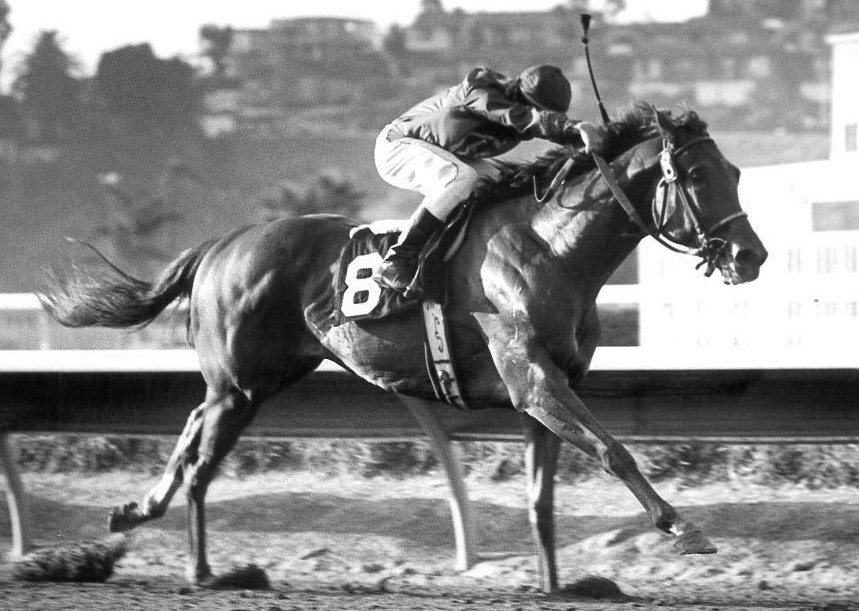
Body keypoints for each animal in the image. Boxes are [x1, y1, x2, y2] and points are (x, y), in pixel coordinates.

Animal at [38, 103, 764, 592]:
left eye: (732, 170)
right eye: (695, 174)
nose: (749, 255)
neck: (552, 246)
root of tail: (222, 243)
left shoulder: (545, 391)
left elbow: (542, 499)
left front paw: (555, 585)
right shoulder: (533, 380)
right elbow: (615, 450)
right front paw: (682, 527)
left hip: (252, 381)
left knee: (191, 427)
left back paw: (137, 510)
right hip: (241, 384)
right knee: (201, 463)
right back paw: (202, 569)